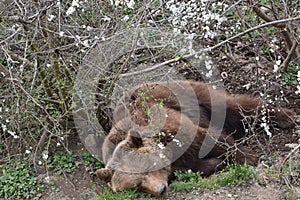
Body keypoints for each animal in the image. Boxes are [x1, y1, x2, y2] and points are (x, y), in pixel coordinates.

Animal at [95, 80, 296, 197]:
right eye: (136, 186)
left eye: (146, 168)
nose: (160, 190)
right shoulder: (178, 165)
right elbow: (197, 166)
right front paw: (218, 163)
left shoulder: (172, 128)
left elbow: (208, 140)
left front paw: (247, 156)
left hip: (185, 95)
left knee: (233, 105)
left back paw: (285, 116)